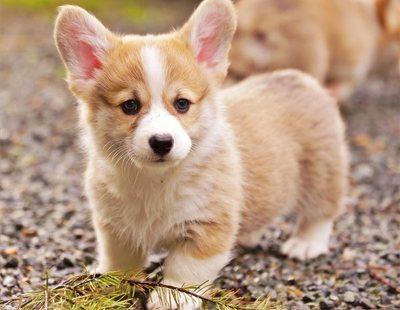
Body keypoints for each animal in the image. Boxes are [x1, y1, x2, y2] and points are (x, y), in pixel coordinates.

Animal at [53, 1, 346, 308]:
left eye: (182, 104)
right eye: (130, 106)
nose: (162, 142)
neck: (154, 180)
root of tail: (296, 77)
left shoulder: (207, 227)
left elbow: (185, 269)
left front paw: (171, 298)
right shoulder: (115, 227)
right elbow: (119, 262)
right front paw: (110, 287)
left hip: (322, 172)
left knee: (321, 211)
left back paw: (306, 243)